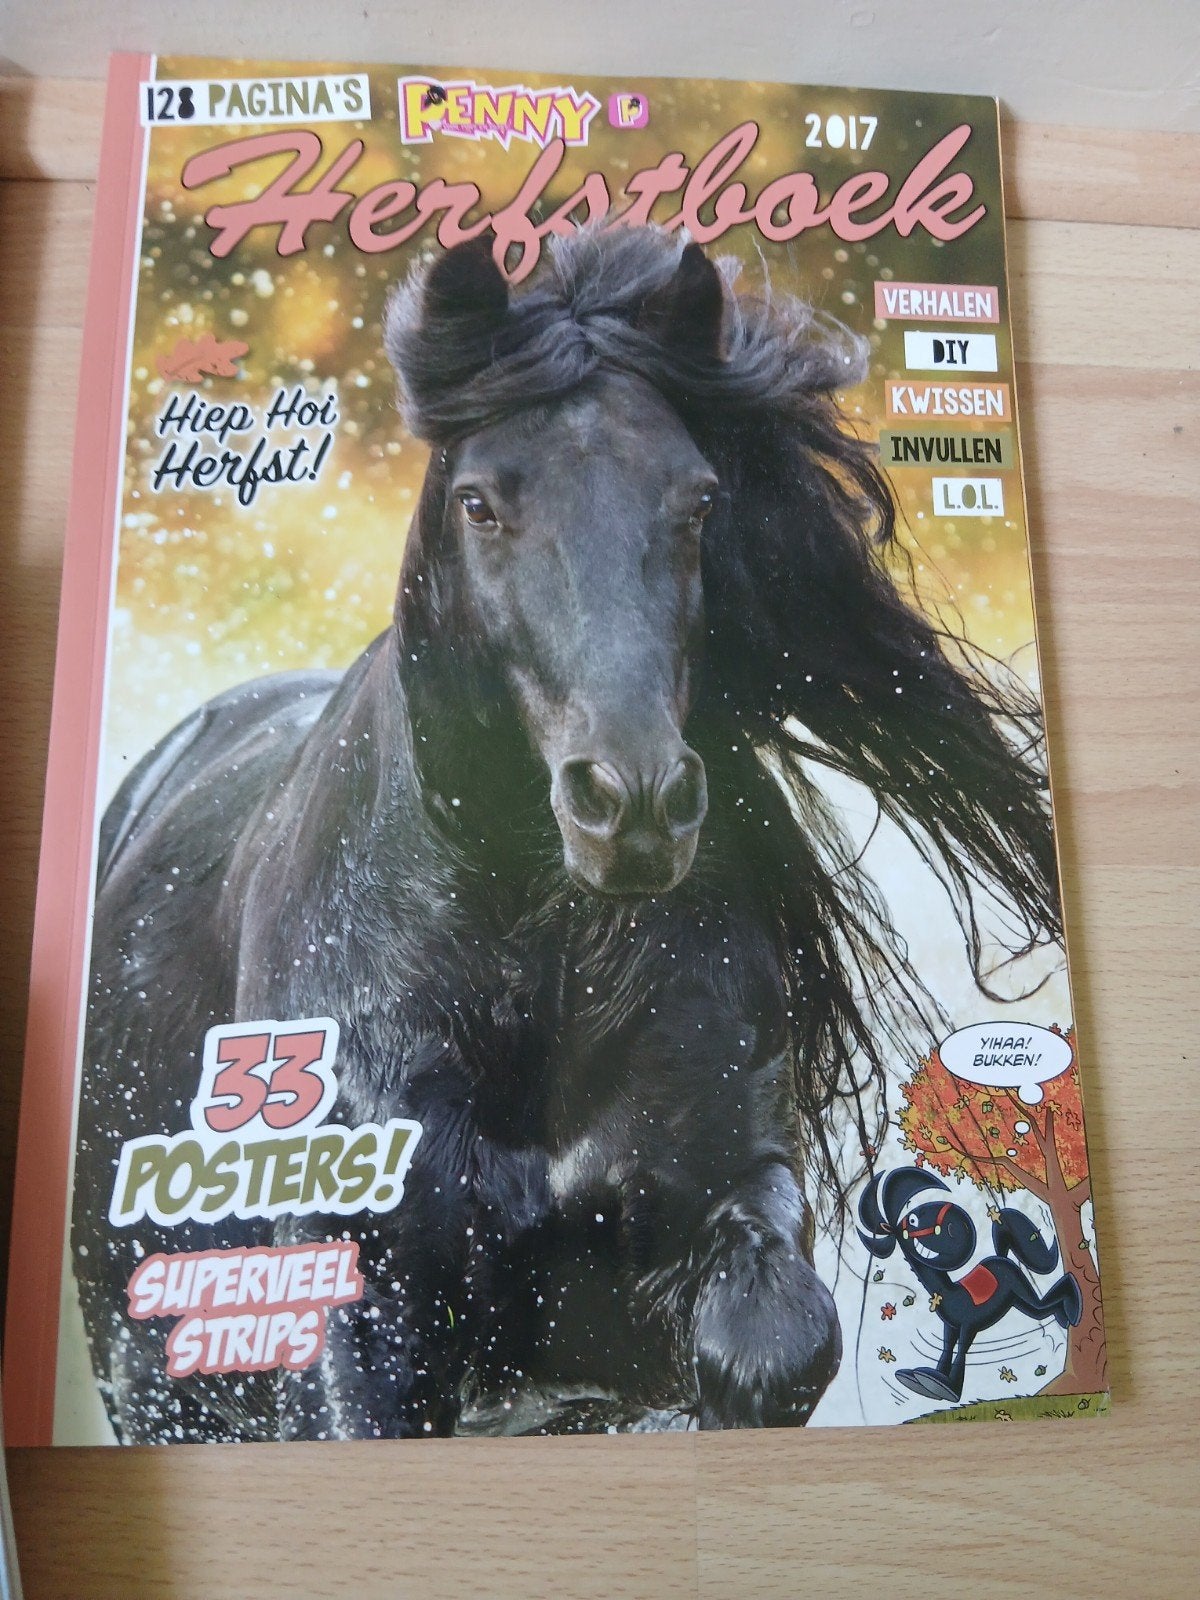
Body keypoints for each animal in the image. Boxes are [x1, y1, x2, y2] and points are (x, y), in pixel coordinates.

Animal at [857, 1167, 1082, 1402]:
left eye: (913, 1220)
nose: (897, 1230)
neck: (948, 1293)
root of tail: (1000, 1258)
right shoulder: (950, 1326)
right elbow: (947, 1349)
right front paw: (924, 1381)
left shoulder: (968, 1325)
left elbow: (962, 1351)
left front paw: (948, 1389)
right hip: (1016, 1301)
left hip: (1019, 1288)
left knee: (1044, 1304)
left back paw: (1072, 1310)